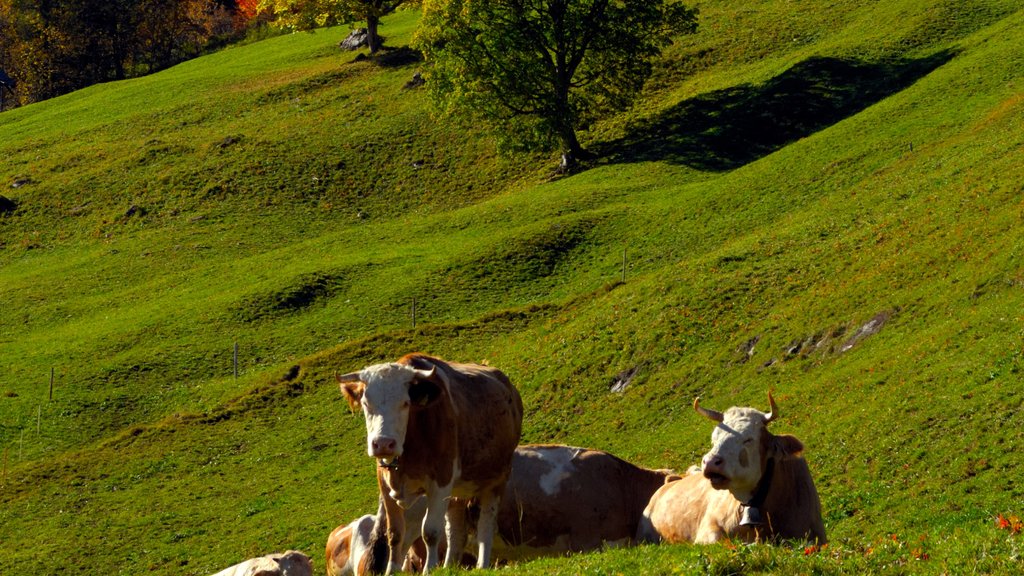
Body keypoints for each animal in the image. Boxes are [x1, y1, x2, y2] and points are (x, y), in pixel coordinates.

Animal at [337, 352, 524, 569]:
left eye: (405, 403)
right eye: (367, 404)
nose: (383, 444)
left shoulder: (441, 479)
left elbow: (431, 531)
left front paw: (429, 569)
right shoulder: (385, 485)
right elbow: (394, 534)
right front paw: (392, 570)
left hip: (496, 480)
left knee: (486, 524)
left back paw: (482, 565)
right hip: (457, 493)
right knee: (455, 530)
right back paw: (449, 565)